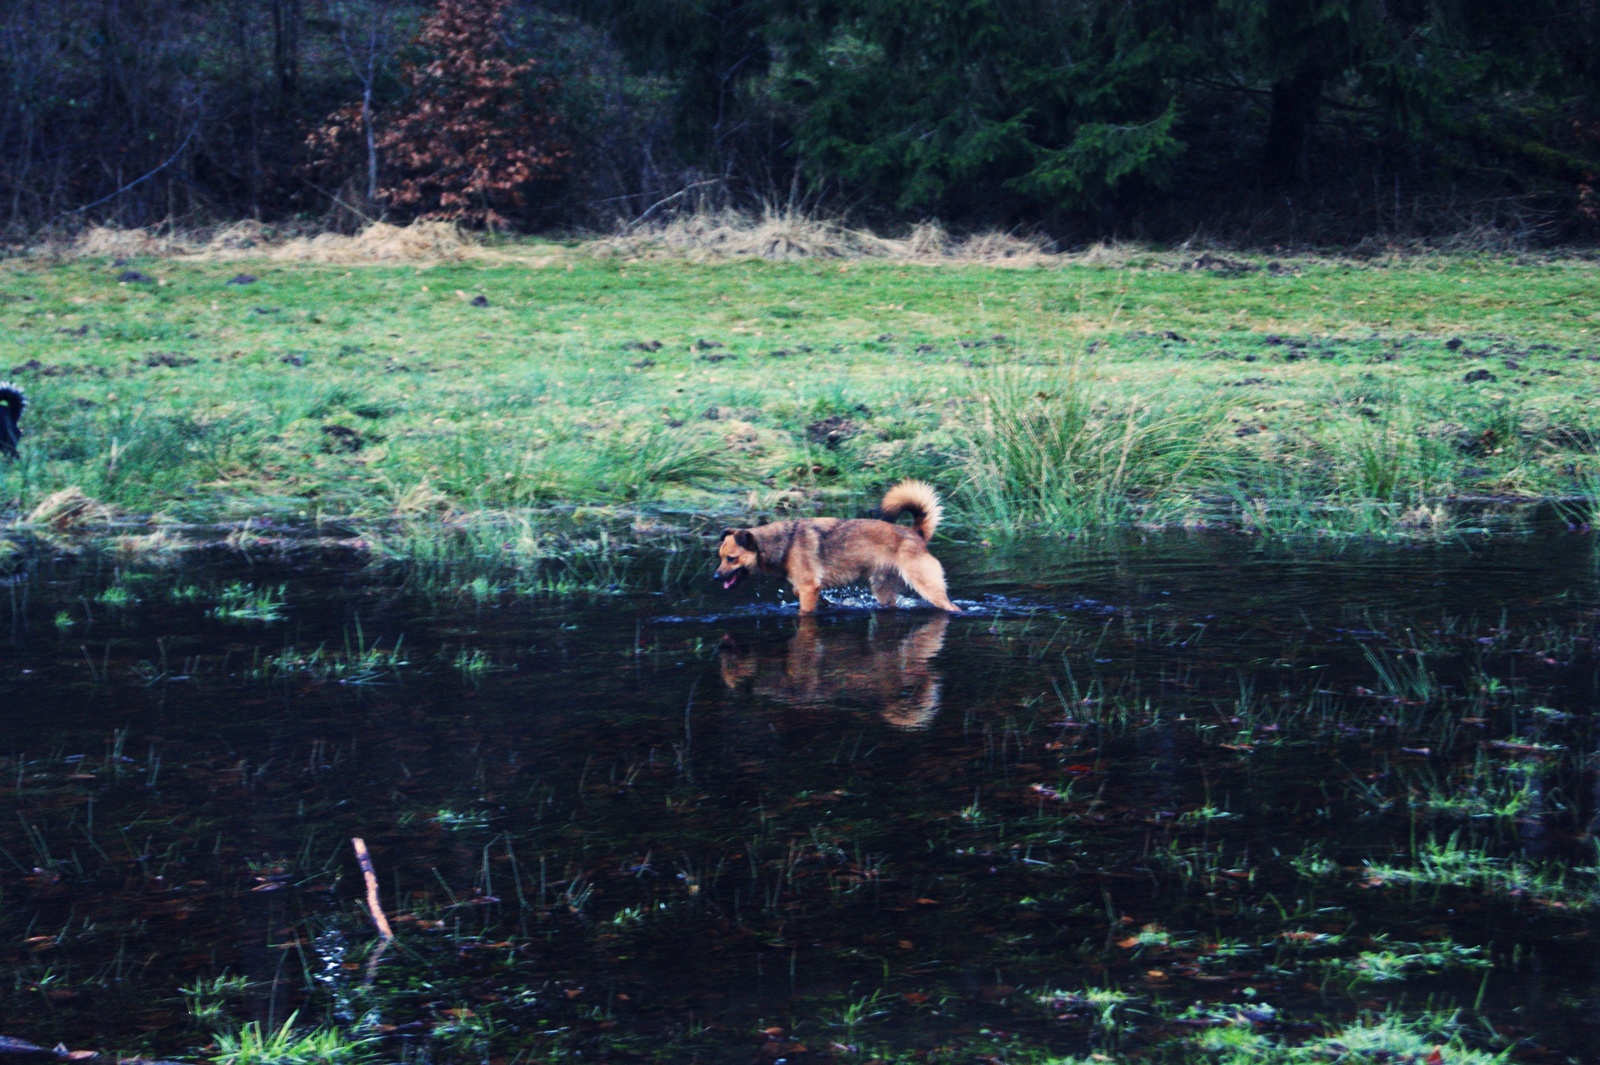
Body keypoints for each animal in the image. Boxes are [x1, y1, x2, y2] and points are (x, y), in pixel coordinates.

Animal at [716, 476, 960, 610]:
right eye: (720, 558)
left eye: (732, 559)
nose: (715, 578)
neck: (783, 543)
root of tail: (915, 533)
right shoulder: (806, 589)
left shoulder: (808, 589)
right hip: (883, 589)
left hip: (928, 586)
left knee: (952, 607)